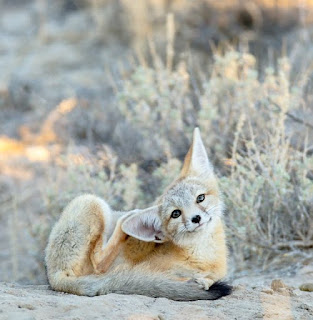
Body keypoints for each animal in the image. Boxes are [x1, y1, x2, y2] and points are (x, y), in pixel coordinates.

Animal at [45, 127, 230, 300]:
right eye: (175, 214)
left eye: (200, 198)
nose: (196, 218)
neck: (206, 258)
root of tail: (53, 276)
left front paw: (204, 280)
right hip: (91, 202)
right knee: (99, 263)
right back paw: (126, 218)